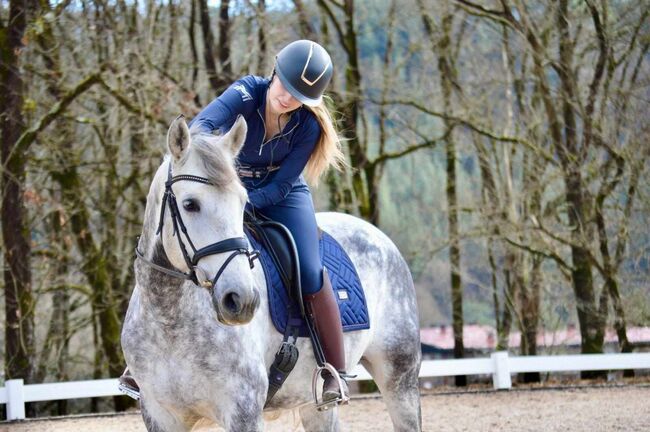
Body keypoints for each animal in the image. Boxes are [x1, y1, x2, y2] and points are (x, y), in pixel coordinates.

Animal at [121, 116, 420, 430]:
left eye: (242, 203)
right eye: (190, 204)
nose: (242, 300)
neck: (169, 319)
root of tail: (376, 234)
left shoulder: (243, 410)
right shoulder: (159, 414)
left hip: (400, 377)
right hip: (315, 404)